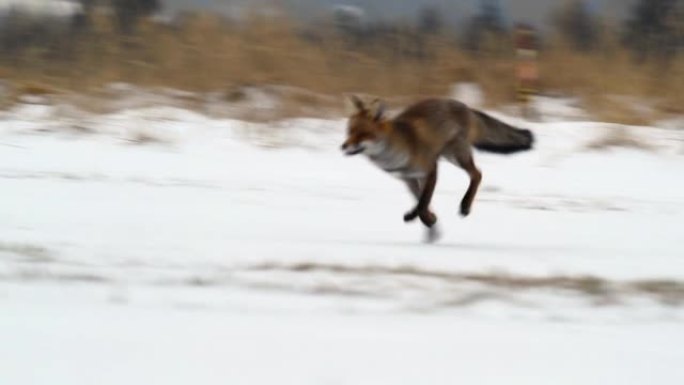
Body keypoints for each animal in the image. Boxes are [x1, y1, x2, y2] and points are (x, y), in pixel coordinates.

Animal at [342, 95, 536, 236]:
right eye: (349, 131)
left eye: (363, 134)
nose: (343, 146)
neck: (398, 150)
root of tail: (466, 107)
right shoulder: (408, 178)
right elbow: (420, 201)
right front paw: (429, 219)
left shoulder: (431, 169)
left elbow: (423, 203)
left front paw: (422, 218)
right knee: (476, 174)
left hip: (455, 156)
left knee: (477, 174)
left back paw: (465, 205)